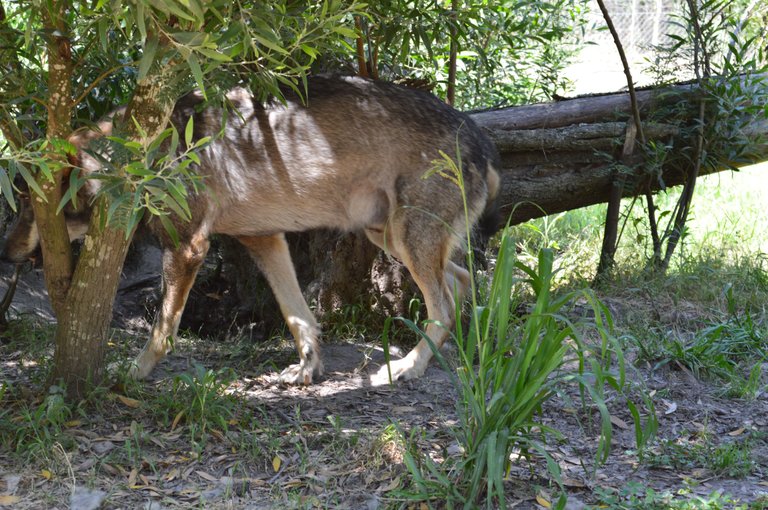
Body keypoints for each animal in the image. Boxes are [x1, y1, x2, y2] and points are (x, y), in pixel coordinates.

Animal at [0, 75, 500, 384]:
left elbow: (163, 328)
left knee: (443, 305)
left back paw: (409, 367)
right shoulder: (264, 240)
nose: (6, 254)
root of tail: (480, 135)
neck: (146, 153)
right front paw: (307, 369)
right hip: (391, 238)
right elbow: (299, 317)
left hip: (406, 241)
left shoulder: (187, 248)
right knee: (461, 282)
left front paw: (137, 371)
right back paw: (457, 349)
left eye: (27, 205)